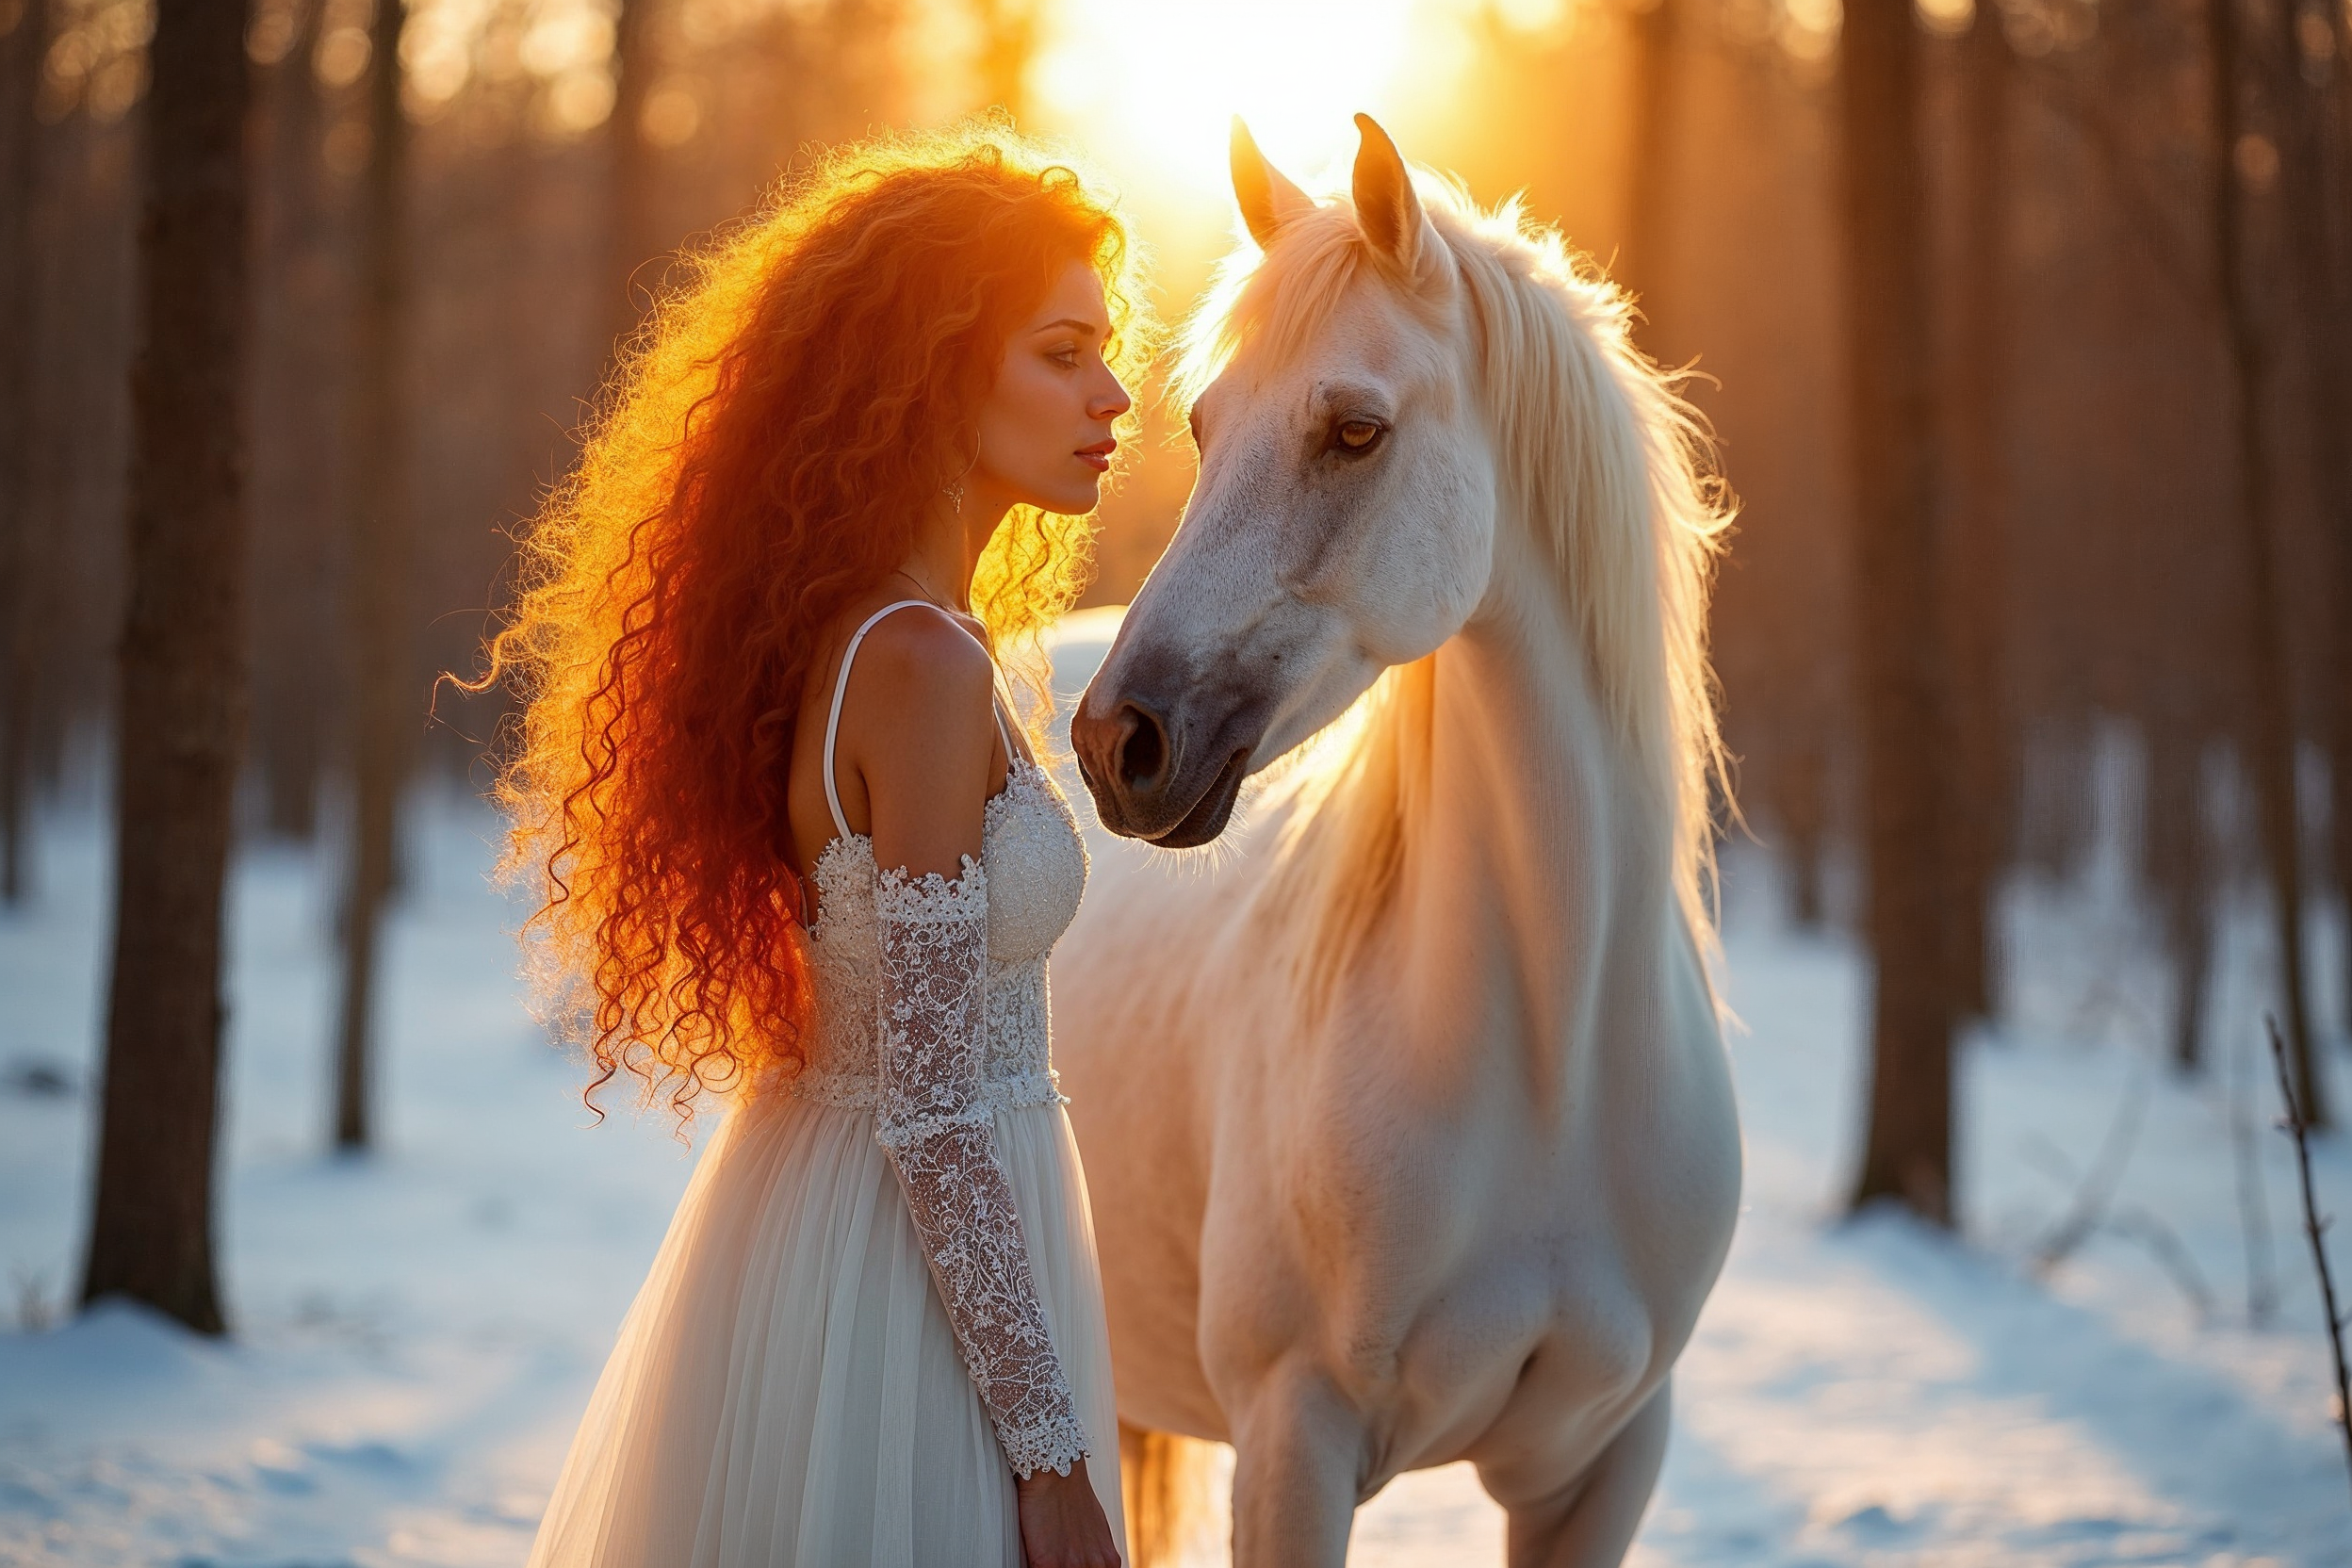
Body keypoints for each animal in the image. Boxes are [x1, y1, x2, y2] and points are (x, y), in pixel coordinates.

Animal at [1047, 115, 1742, 1567]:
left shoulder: (1603, 1464)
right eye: (1204, 424)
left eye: (1354, 432)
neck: (1552, 1070)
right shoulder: (1294, 1447)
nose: (1117, 744)